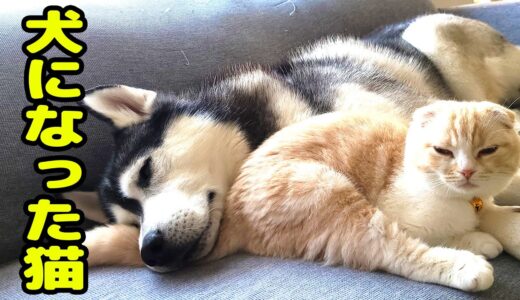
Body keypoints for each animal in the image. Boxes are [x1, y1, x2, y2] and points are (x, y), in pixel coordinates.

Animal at [204, 100, 520, 290]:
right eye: (443, 151)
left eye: (488, 151)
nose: (466, 171)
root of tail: (231, 213)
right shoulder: (402, 218)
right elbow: (429, 236)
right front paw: (475, 241)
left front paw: (480, 236)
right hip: (332, 193)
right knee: (396, 253)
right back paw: (468, 267)